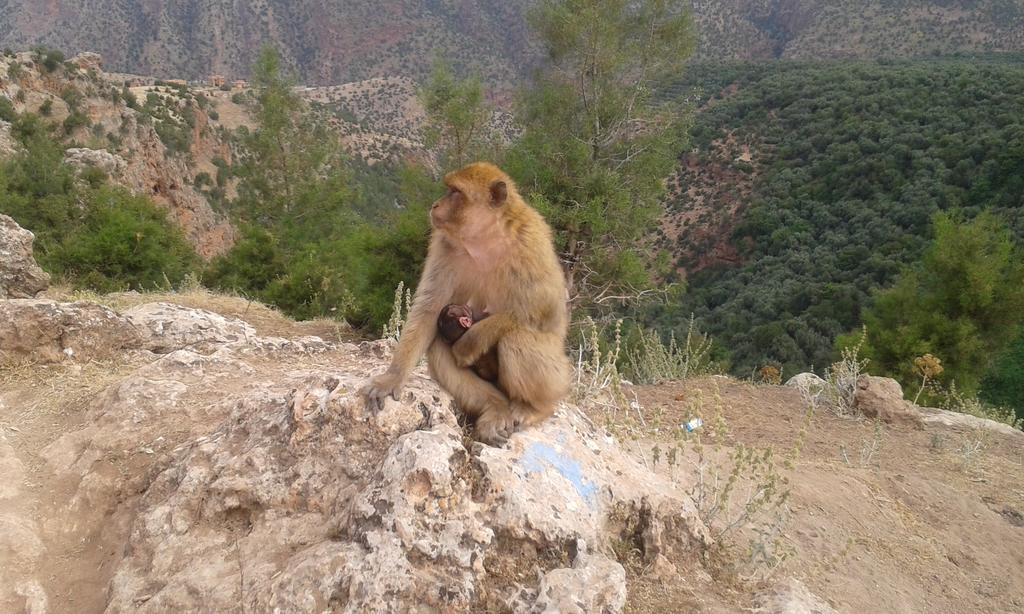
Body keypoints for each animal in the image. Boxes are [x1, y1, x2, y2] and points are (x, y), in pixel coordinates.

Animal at [362, 160, 573, 444]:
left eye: (455, 192)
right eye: (448, 189)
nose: (435, 205)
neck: (485, 239)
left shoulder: (532, 243)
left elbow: (545, 312)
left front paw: (471, 342)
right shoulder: (445, 245)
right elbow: (429, 309)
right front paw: (392, 377)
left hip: (558, 376)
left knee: (517, 338)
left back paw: (534, 408)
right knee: (439, 343)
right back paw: (494, 409)